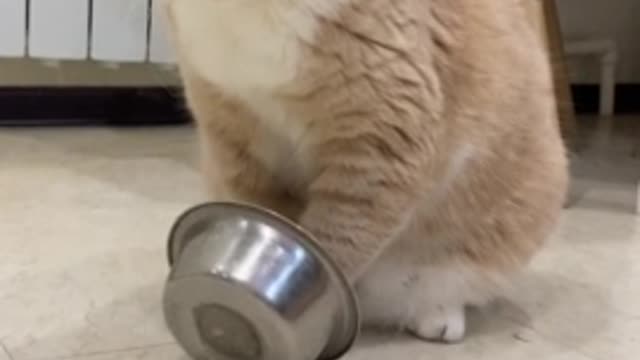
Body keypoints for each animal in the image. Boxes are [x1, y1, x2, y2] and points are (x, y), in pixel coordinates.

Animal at [165, 0, 568, 344]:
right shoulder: (237, 145)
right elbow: (265, 217)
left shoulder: (374, 151)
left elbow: (331, 243)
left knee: (448, 287)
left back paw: (437, 318)